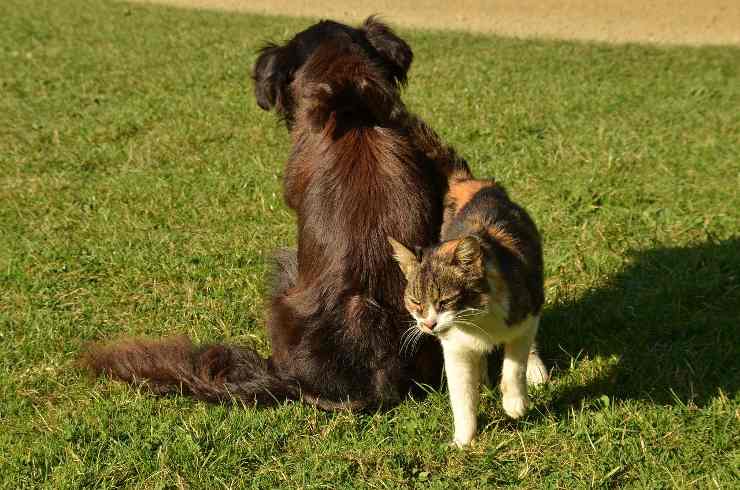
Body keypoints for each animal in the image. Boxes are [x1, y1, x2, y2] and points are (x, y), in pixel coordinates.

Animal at [390, 177, 548, 448]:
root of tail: (477, 184)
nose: (428, 325)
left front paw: (515, 403)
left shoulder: (526, 315)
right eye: (415, 302)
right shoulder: (455, 347)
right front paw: (463, 441)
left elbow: (514, 363)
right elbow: (461, 396)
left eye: (445, 301)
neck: (476, 320)